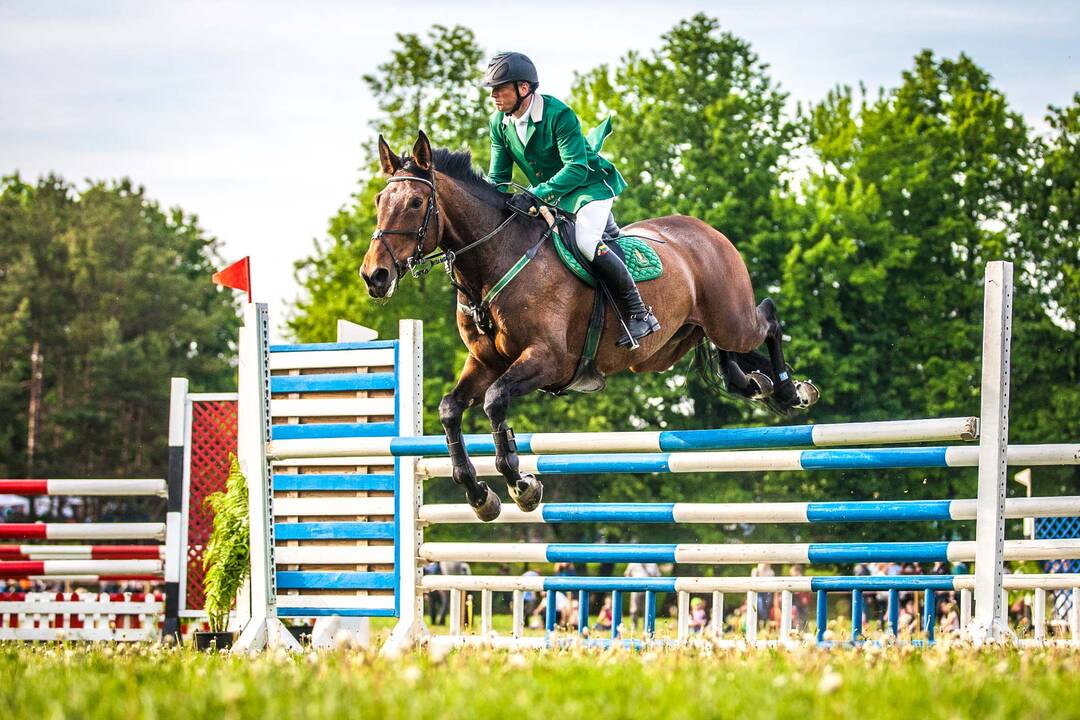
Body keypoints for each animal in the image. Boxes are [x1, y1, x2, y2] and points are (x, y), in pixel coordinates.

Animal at [358, 132, 812, 520]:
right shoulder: (486, 362)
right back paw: (756, 383)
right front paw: (479, 495)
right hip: (673, 345)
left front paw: (522, 486)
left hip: (731, 319)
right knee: (725, 355)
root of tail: (708, 231)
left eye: (416, 202)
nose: (374, 276)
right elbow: (452, 408)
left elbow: (494, 401)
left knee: (768, 318)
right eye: (380, 199)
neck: (494, 260)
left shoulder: (549, 360)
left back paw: (791, 390)